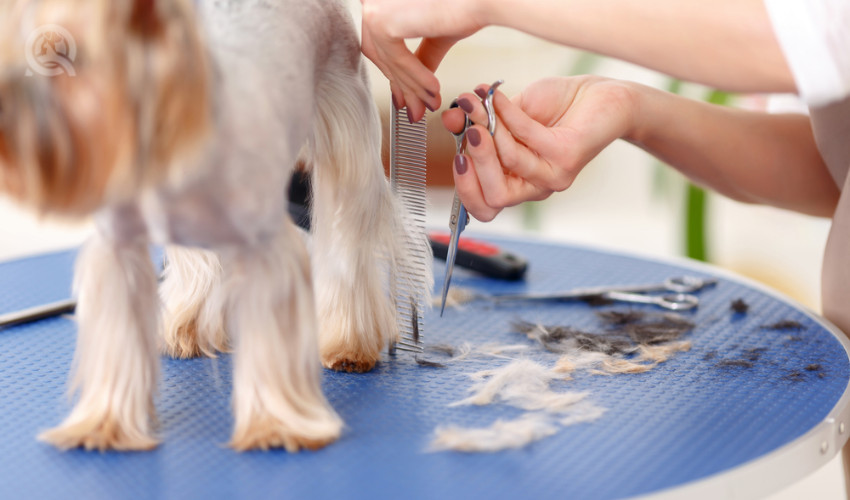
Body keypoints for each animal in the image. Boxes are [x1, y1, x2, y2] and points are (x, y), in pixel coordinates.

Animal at [0, 0, 424, 454]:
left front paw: (274, 423)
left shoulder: (264, 246)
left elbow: (270, 339)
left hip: (345, 119)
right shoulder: (118, 248)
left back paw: (349, 342)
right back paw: (186, 329)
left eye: (64, 56)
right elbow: (119, 338)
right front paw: (104, 423)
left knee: (347, 237)